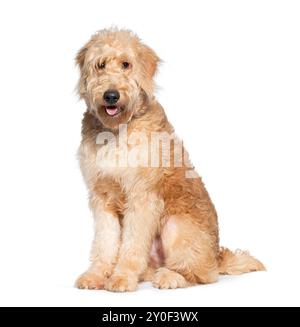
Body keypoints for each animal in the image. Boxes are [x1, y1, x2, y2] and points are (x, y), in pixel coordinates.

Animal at [75, 26, 264, 292]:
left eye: (126, 64)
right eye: (100, 65)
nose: (111, 96)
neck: (116, 130)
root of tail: (217, 256)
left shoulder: (143, 197)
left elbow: (132, 245)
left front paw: (122, 277)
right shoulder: (102, 197)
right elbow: (105, 242)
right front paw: (96, 275)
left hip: (176, 225)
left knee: (201, 274)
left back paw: (169, 277)